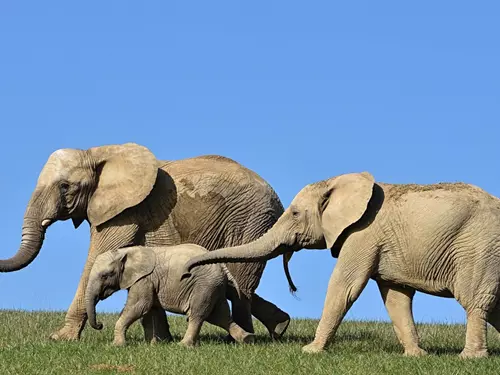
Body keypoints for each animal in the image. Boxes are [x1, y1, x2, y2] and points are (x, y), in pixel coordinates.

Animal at [85, 245, 254, 348]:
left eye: (106, 275)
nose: (100, 324)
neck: (126, 251)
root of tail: (223, 268)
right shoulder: (150, 281)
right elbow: (151, 308)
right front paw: (152, 345)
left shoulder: (144, 279)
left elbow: (140, 305)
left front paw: (117, 345)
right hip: (214, 287)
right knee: (221, 316)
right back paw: (247, 339)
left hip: (204, 285)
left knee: (198, 314)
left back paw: (183, 345)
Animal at [184, 172, 500, 360]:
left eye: (295, 213)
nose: (187, 269)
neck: (338, 182)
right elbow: (395, 296)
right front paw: (416, 356)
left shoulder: (363, 234)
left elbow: (345, 285)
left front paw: (310, 352)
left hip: (479, 247)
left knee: (474, 300)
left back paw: (470, 358)